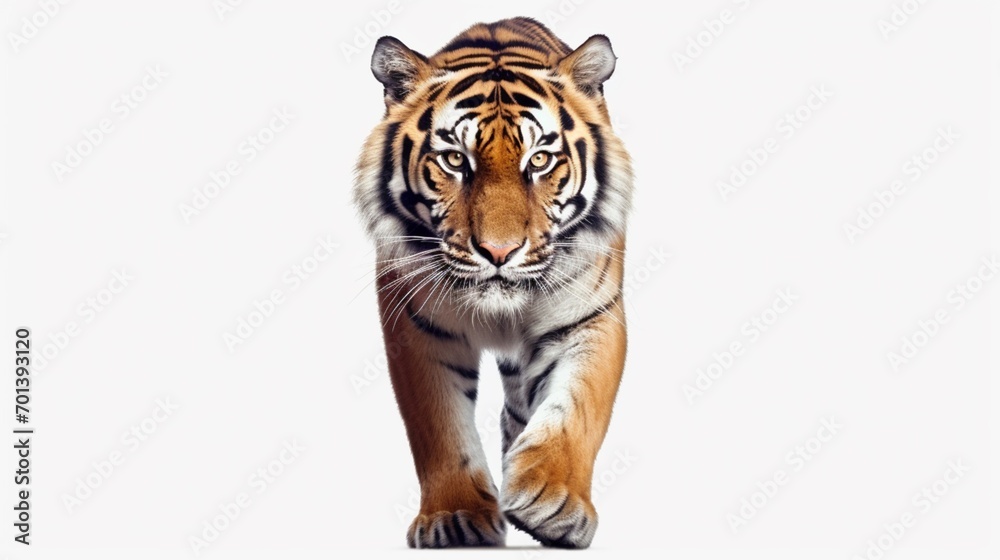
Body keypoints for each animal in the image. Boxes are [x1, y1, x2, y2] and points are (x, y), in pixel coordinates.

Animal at [353, 17, 633, 549]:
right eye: (454, 160)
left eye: (540, 160)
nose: (499, 252)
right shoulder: (417, 327)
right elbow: (438, 427)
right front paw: (454, 518)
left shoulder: (590, 317)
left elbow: (579, 407)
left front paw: (550, 499)